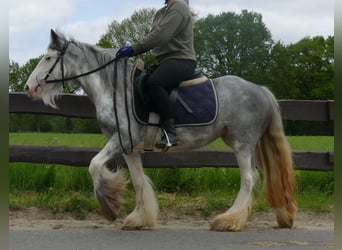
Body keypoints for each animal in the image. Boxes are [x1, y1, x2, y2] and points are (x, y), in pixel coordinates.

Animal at [23, 29, 296, 232]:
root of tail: (261, 90)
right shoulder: (129, 147)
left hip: (242, 143)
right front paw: (138, 218)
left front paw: (109, 206)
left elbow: (94, 165)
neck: (115, 88)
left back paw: (229, 220)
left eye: (48, 58)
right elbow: (138, 181)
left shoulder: (119, 139)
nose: (28, 88)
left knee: (249, 178)